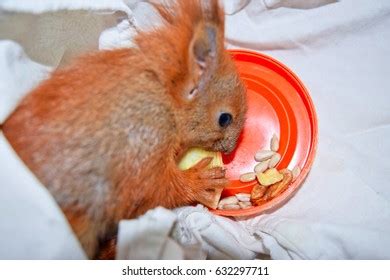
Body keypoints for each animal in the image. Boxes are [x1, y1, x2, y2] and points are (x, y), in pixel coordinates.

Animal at [2, 0, 247, 258]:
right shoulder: (143, 144)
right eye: (224, 119)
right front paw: (199, 181)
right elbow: (154, 190)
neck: (163, 97)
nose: (230, 149)